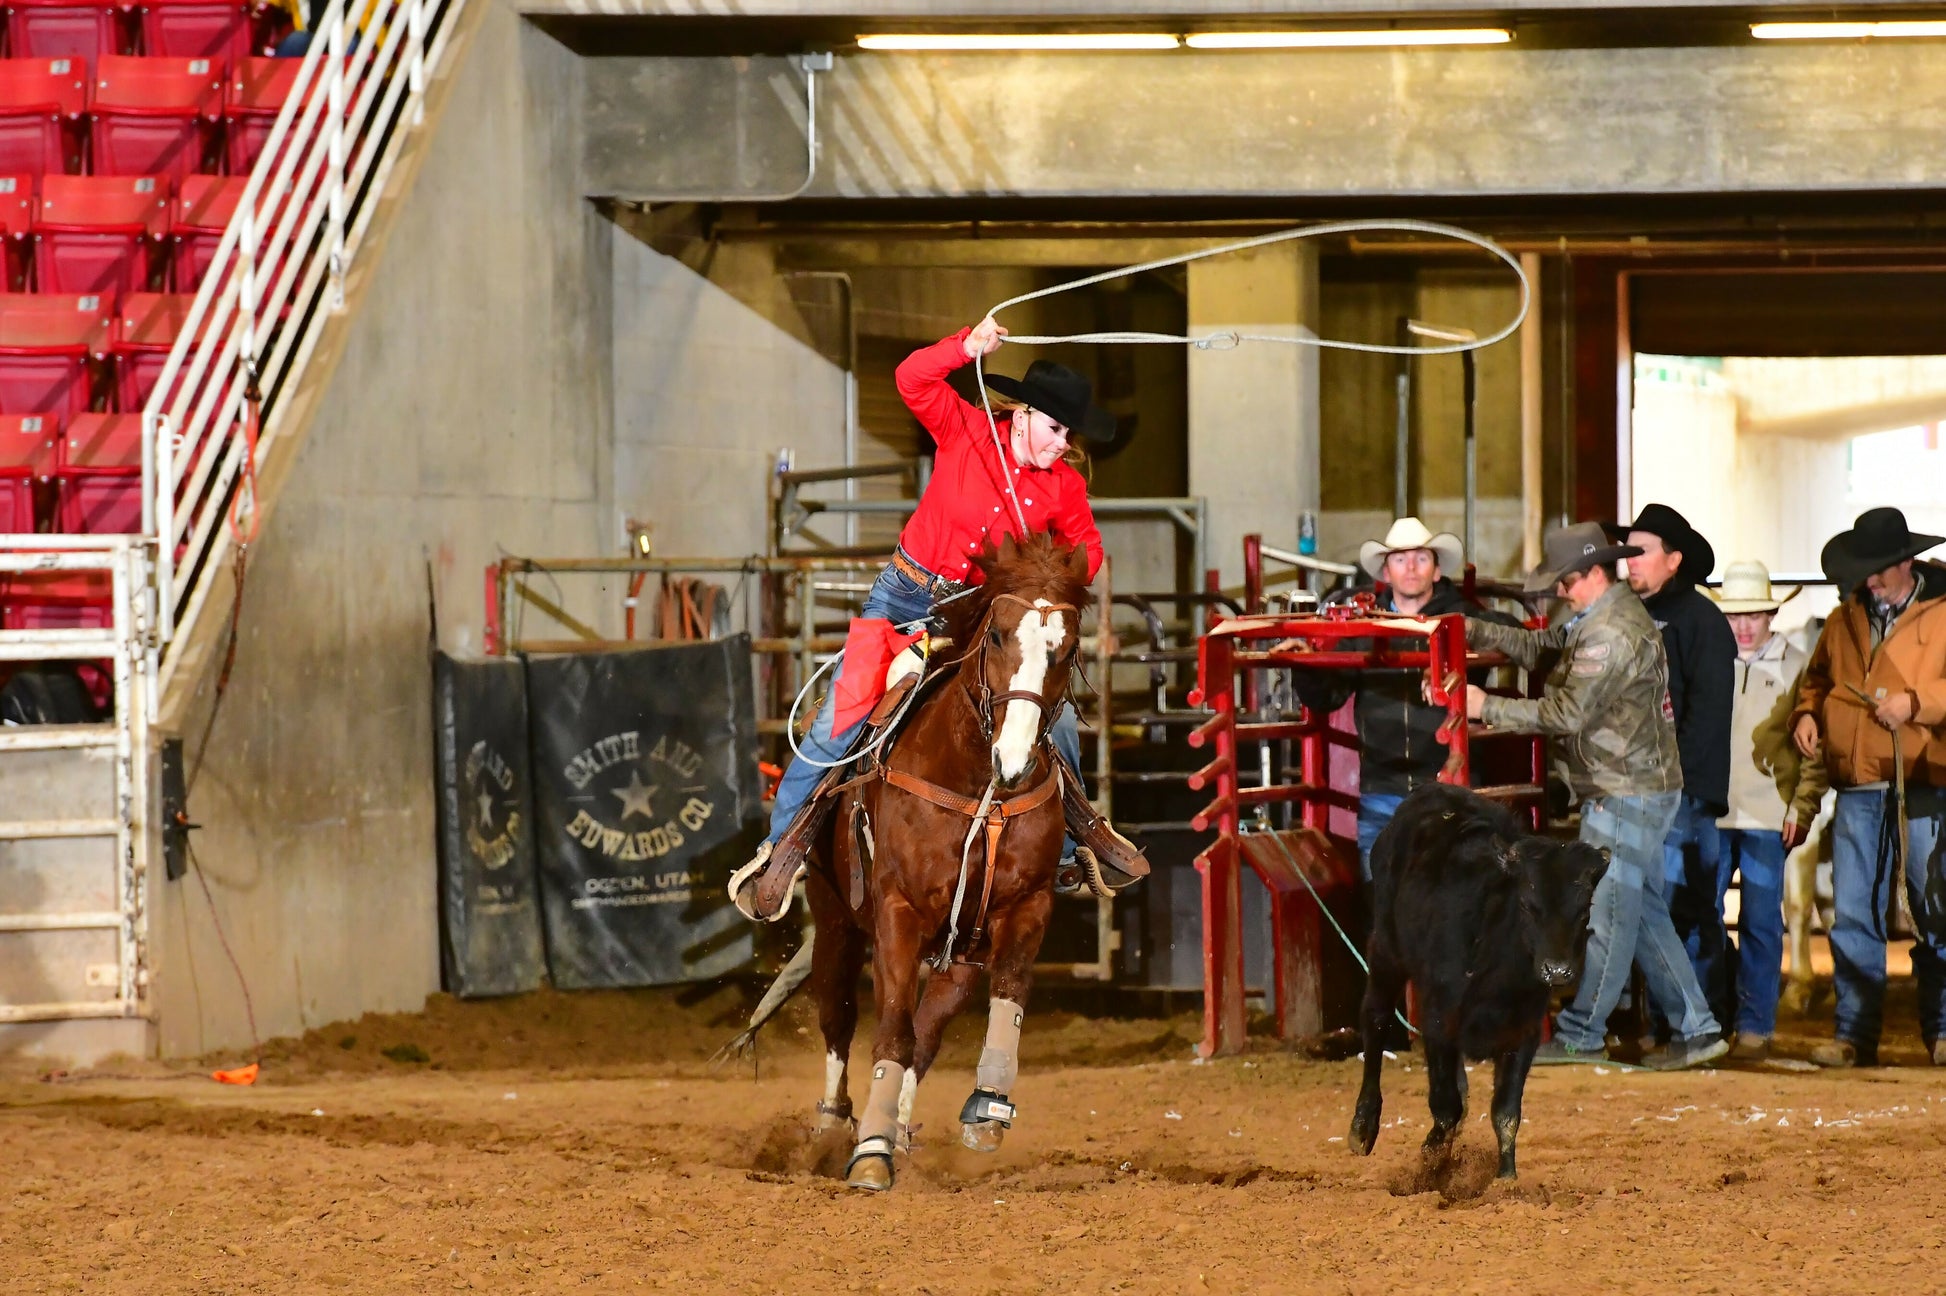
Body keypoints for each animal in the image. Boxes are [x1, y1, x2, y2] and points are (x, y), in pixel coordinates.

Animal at [803, 531, 1090, 1192]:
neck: (978, 784)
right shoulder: (897, 912)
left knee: (929, 1029)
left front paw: (987, 1108)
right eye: (997, 636)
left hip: (959, 950)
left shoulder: (1024, 907)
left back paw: (899, 1130)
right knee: (839, 1013)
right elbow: (891, 1027)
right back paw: (833, 1129)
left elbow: (1004, 999)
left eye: (1066, 649)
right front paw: (870, 1150)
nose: (1013, 758)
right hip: (833, 919)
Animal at [1348, 783, 1610, 1180]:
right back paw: (1363, 1125)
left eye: (1584, 910)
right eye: (1527, 904)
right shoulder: (1438, 1020)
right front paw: (1432, 1160)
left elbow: (1506, 1113)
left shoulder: (1523, 1032)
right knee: (1375, 1020)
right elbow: (1445, 1106)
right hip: (1386, 947)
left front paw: (1506, 1180)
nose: (1558, 970)